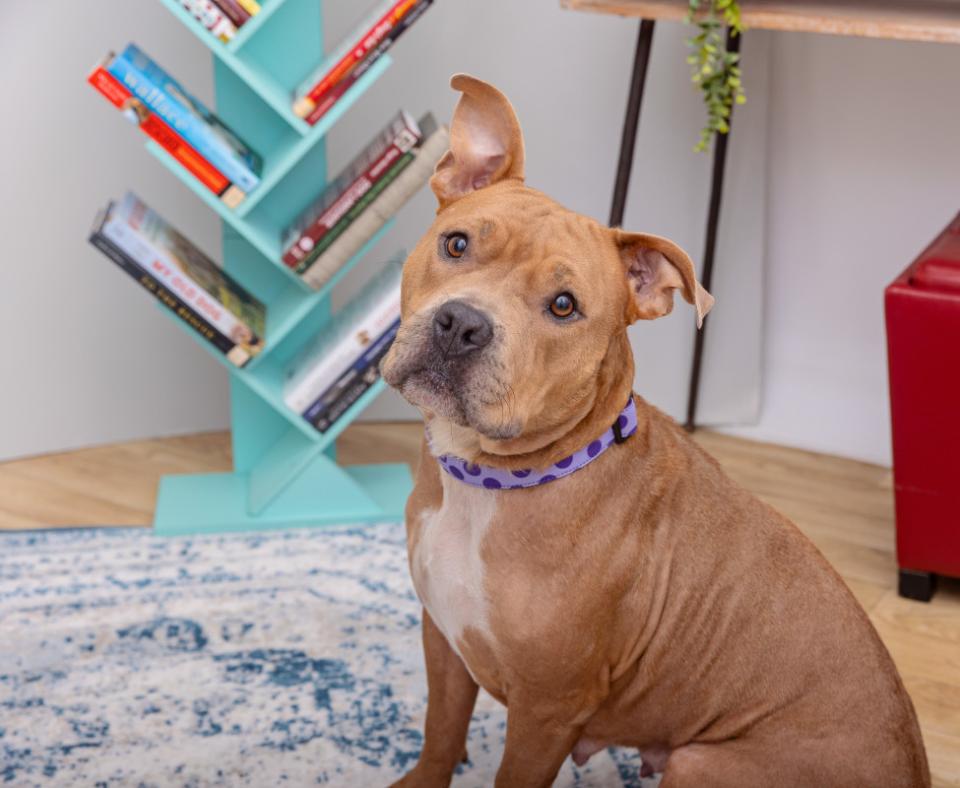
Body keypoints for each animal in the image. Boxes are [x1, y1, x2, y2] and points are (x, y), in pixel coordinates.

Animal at [378, 75, 928, 788]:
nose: (463, 325)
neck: (492, 480)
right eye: (457, 244)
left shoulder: (548, 711)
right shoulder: (443, 640)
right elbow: (440, 731)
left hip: (699, 762)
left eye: (564, 306)